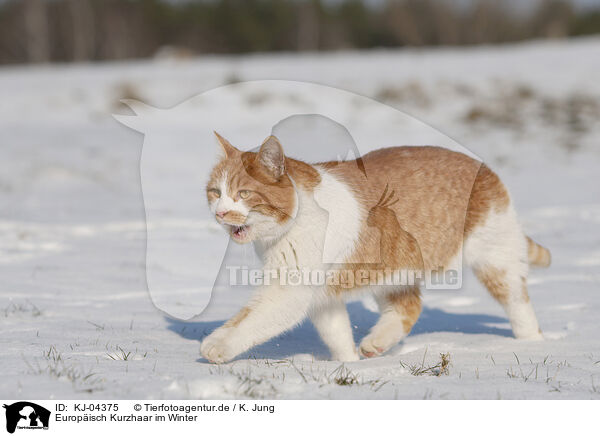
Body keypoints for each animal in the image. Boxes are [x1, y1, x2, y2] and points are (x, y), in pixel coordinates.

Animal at [199, 133, 552, 364]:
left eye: (244, 193)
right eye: (215, 192)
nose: (220, 213)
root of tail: (485, 167)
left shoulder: (290, 290)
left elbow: (248, 320)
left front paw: (216, 346)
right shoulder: (322, 295)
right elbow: (337, 332)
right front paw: (348, 366)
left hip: (496, 260)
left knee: (519, 303)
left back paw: (532, 346)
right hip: (393, 271)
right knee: (409, 307)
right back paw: (377, 344)